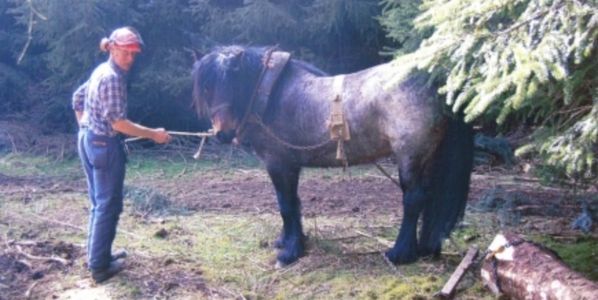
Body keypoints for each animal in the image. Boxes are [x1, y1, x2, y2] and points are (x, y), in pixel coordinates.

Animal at [192, 45, 474, 266]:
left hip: (410, 156)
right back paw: (425, 248)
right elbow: (293, 203)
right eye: (205, 88)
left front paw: (290, 252)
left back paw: (400, 253)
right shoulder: (290, 165)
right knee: (429, 198)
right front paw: (289, 240)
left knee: (413, 199)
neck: (272, 96)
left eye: (233, 82)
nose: (223, 133)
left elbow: (286, 205)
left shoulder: (278, 163)